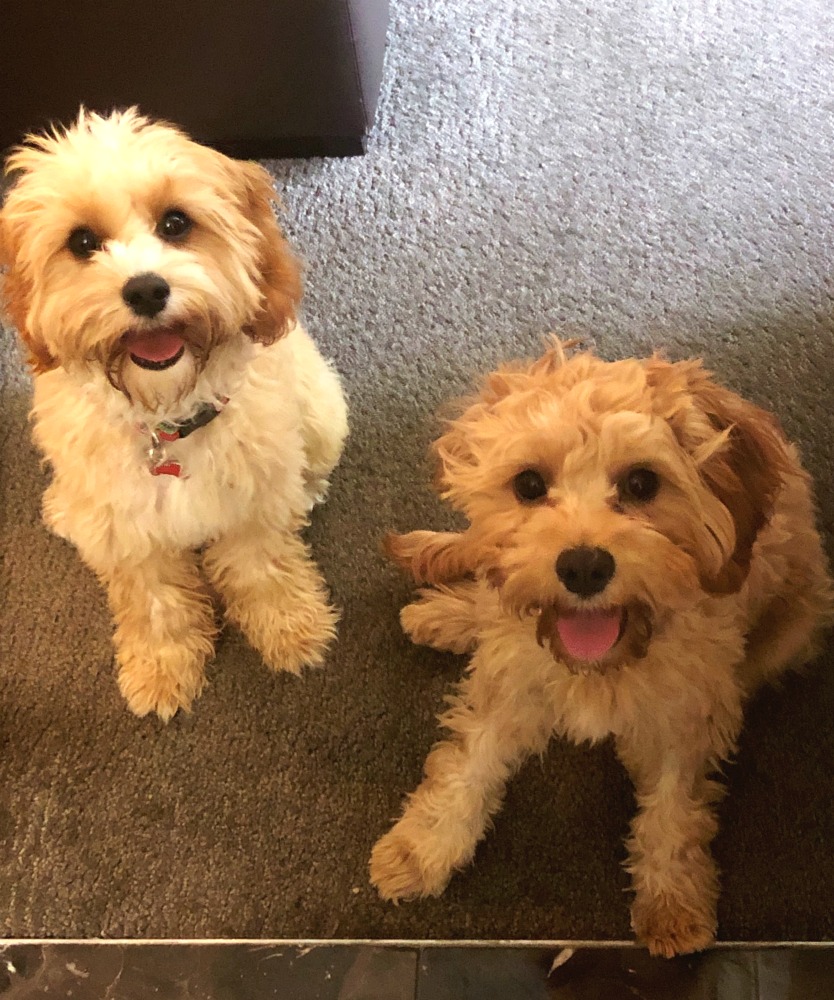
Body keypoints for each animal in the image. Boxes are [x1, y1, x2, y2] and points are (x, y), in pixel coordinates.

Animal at [0, 107, 344, 720]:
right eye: (82, 241)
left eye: (176, 223)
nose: (145, 290)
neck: (167, 420)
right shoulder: (127, 531)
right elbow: (155, 601)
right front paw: (161, 669)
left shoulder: (251, 503)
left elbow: (263, 570)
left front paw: (291, 629)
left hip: (321, 410)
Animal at [372, 340, 832, 956]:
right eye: (529, 485)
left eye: (641, 483)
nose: (583, 566)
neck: (601, 665)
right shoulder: (511, 686)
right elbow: (467, 765)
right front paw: (424, 846)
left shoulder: (684, 716)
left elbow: (671, 810)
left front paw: (671, 898)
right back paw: (450, 615)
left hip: (794, 626)